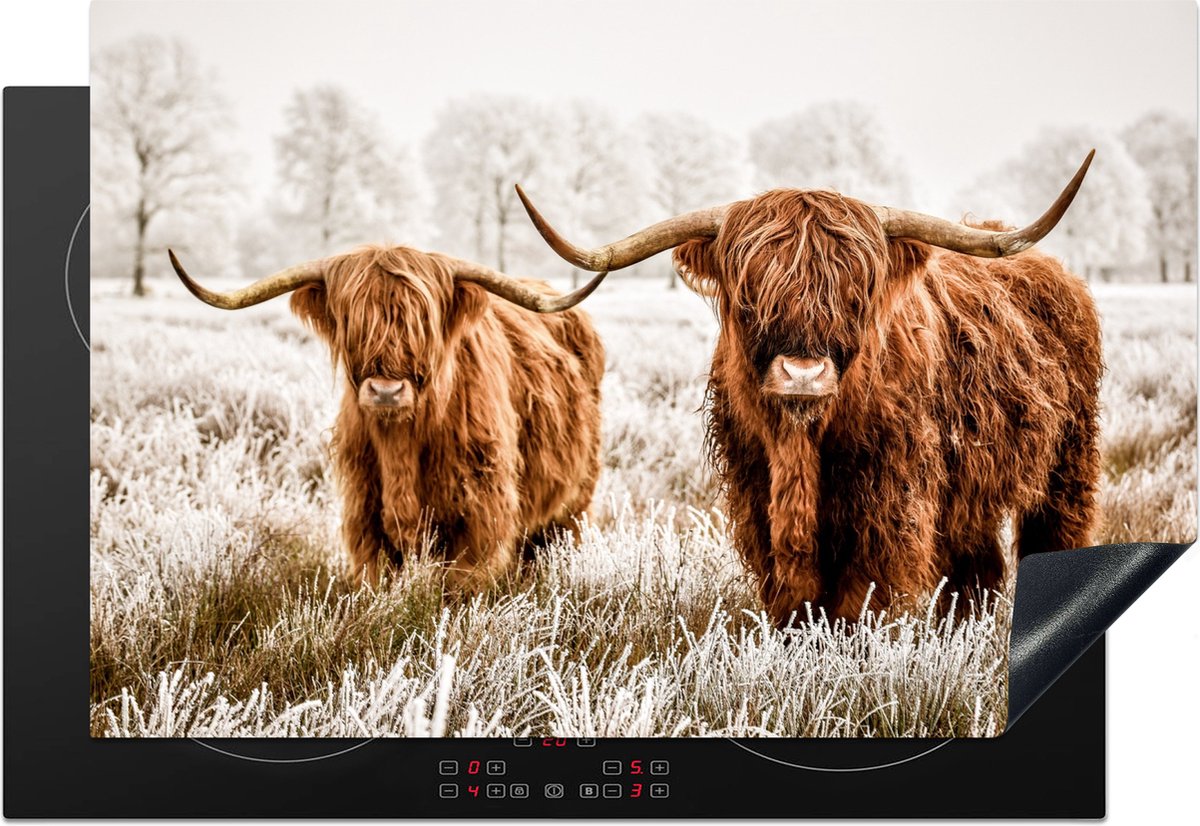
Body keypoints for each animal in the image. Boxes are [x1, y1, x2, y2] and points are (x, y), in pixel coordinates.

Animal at [168, 245, 607, 591]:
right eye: (352, 321)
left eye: (422, 323)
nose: (385, 391)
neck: (402, 445)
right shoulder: (365, 517)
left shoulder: (481, 517)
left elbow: (461, 587)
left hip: (574, 503)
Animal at [514, 152, 1101, 625]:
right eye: (750, 293)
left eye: (855, 293)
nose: (802, 374)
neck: (801, 446)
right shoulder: (756, 495)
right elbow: (793, 598)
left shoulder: (890, 504)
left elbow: (859, 600)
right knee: (977, 566)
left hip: (1068, 463)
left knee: (1054, 536)